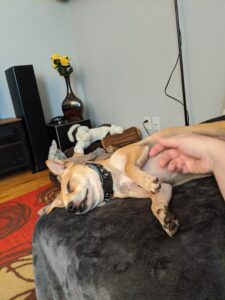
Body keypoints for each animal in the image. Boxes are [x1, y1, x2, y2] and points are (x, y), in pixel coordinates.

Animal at [45, 121, 225, 237]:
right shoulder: (165, 187)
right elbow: (155, 205)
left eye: (69, 186)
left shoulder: (139, 149)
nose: (70, 209)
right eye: (63, 208)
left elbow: (129, 168)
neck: (113, 179)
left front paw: (147, 181)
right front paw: (165, 217)